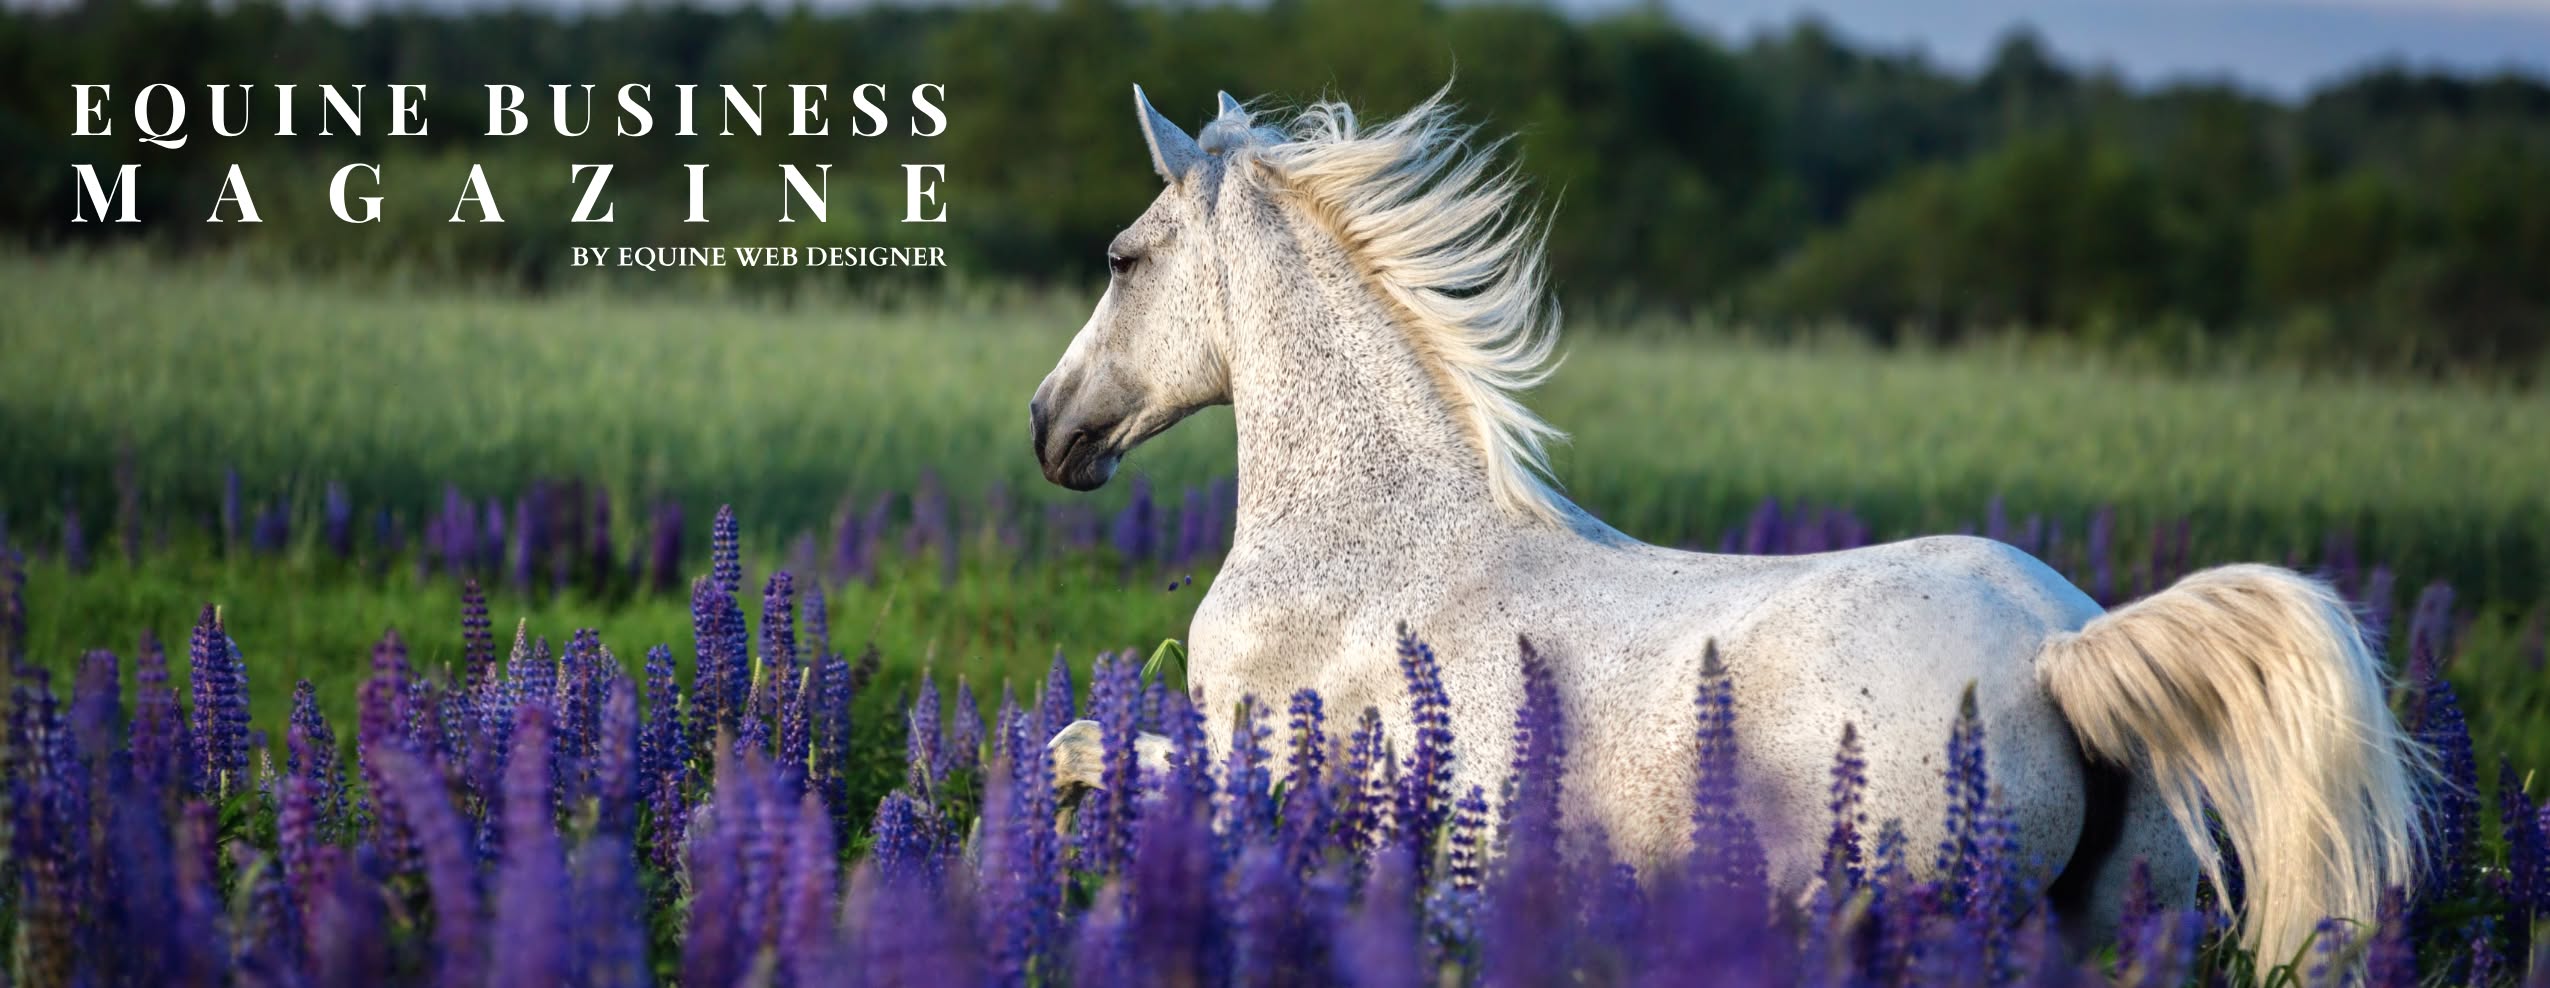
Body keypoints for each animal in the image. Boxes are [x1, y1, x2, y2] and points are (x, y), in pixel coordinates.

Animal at [1029, 84, 2430, 965]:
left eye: (1121, 257)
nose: (1052, 425)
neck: (1369, 535)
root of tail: (2059, 650)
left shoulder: (1258, 772)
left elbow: (1077, 749)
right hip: (2090, 926)